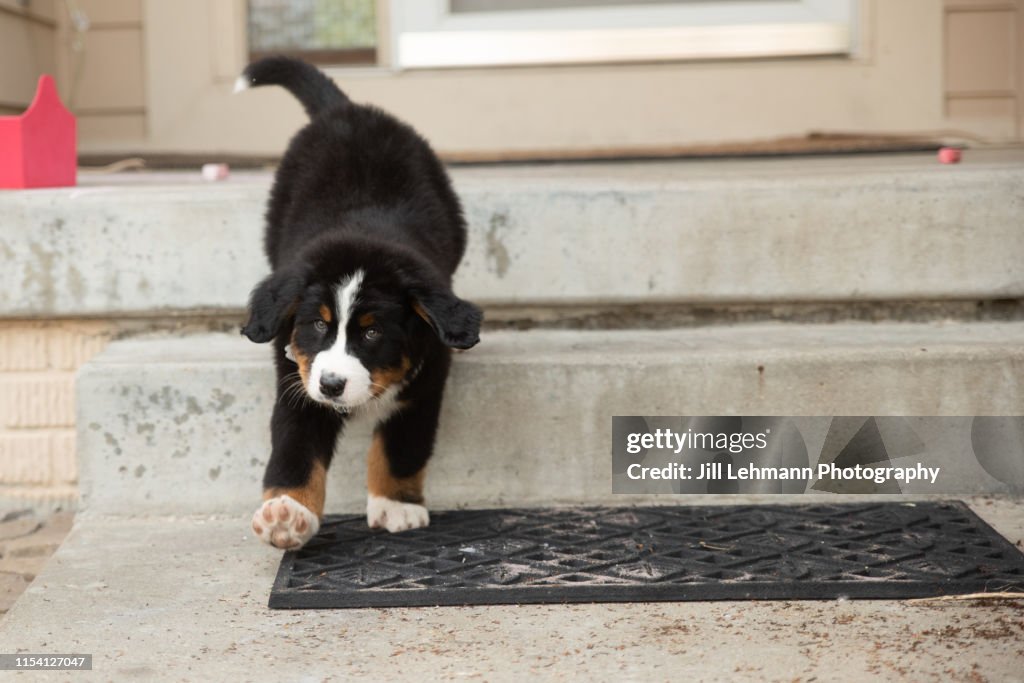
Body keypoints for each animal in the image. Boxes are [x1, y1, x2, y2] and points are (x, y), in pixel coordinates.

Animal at [237, 57, 481, 548]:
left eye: (371, 332)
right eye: (317, 325)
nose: (332, 385)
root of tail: (347, 110)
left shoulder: (423, 388)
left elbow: (400, 449)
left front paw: (396, 506)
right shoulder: (297, 380)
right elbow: (295, 451)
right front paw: (286, 512)